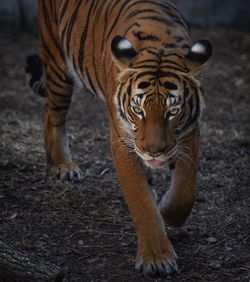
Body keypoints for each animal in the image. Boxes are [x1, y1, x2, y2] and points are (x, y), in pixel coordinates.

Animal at [25, 0, 212, 276]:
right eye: (138, 109)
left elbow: (185, 192)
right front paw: (157, 257)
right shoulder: (124, 142)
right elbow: (141, 201)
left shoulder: (188, 133)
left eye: (173, 112)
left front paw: (165, 211)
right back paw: (62, 167)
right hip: (57, 62)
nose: (153, 151)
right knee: (53, 115)